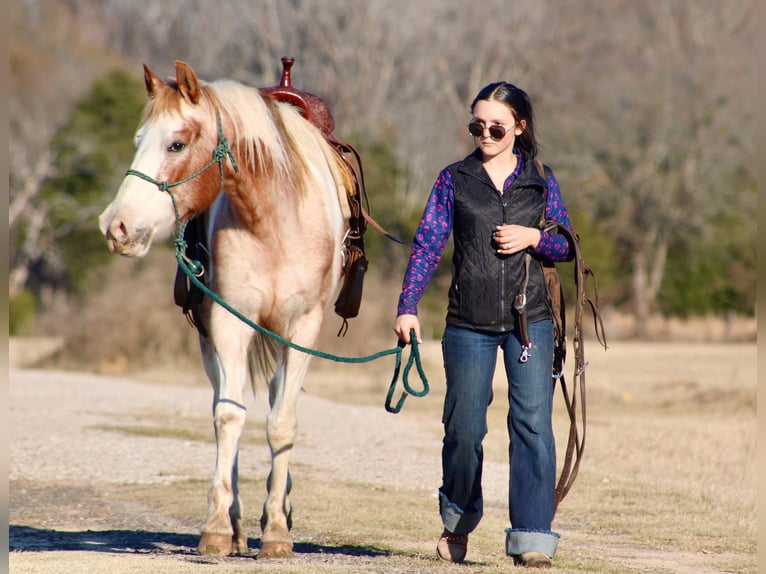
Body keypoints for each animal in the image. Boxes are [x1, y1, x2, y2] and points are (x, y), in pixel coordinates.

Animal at [98, 60, 355, 558]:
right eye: (139, 140)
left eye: (176, 143)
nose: (116, 225)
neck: (273, 219)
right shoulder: (228, 322)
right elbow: (229, 416)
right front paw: (218, 525)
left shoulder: (303, 329)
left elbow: (282, 424)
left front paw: (277, 531)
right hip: (210, 339)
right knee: (225, 404)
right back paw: (236, 525)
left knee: (276, 399)